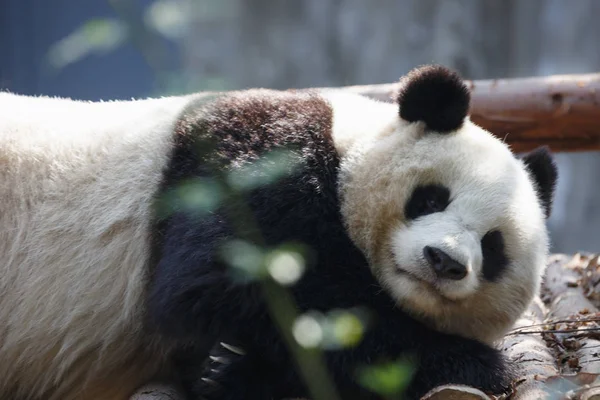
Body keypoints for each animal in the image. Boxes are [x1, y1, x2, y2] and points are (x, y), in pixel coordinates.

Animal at [0, 65, 556, 400]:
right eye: (431, 198)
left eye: (493, 247)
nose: (444, 261)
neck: (343, 147)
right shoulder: (255, 156)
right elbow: (221, 282)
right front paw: (475, 364)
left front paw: (225, 368)